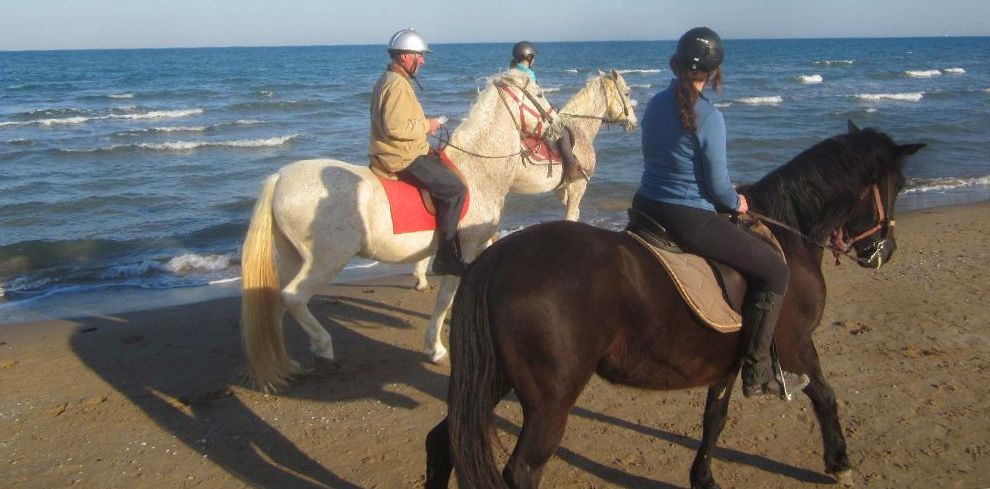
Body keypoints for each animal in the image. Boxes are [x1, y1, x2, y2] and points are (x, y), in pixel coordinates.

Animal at [243, 69, 640, 388]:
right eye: (539, 94)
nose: (557, 124)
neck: (479, 167)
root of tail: (279, 179)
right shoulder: (467, 247)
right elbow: (447, 296)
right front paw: (435, 347)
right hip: (326, 260)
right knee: (294, 297)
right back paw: (322, 348)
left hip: (292, 257)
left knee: (275, 301)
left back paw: (287, 358)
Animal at [426, 123, 928, 488]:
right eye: (899, 184)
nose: (885, 251)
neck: (786, 233)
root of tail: (499, 257)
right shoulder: (797, 343)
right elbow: (825, 395)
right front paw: (839, 461)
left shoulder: (730, 360)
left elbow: (714, 419)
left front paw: (703, 478)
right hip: (549, 400)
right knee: (522, 471)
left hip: (495, 376)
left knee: (442, 443)